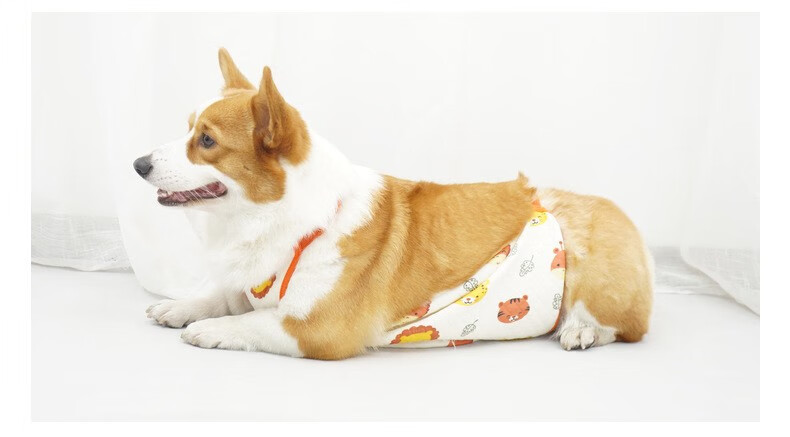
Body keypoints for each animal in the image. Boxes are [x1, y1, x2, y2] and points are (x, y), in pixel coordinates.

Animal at [136, 48, 653, 359]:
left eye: (207, 141)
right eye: (188, 129)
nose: (137, 164)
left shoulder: (317, 328)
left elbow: (253, 322)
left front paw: (211, 329)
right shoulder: (249, 282)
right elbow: (224, 295)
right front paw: (181, 307)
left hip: (589, 267)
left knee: (628, 325)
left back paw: (583, 330)